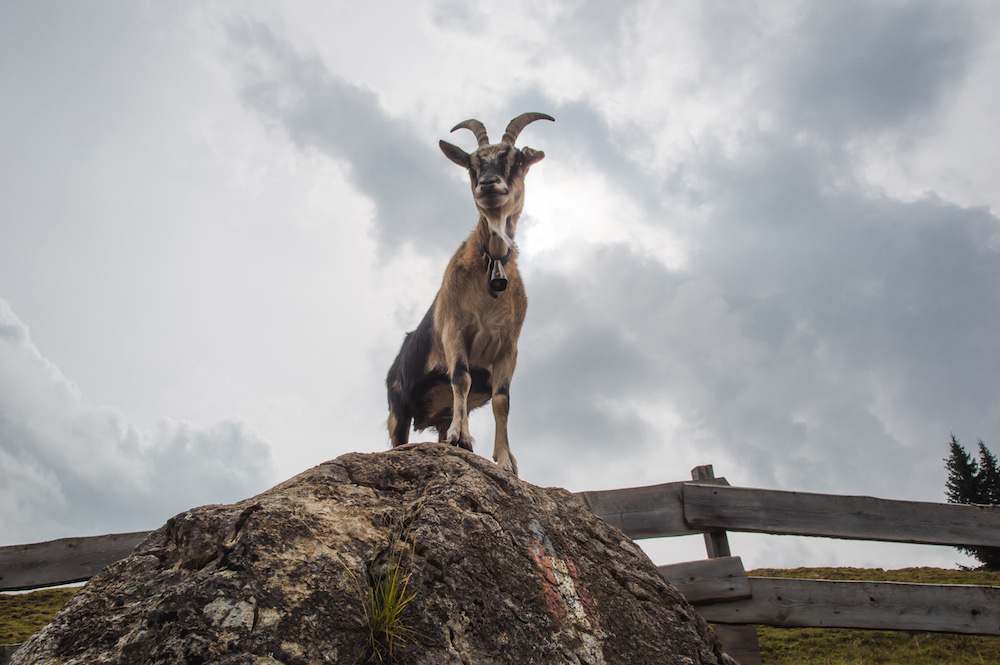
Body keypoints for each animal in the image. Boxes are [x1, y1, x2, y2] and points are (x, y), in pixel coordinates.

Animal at [384, 111, 556, 474]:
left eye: (517, 159)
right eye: (471, 165)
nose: (488, 184)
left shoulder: (508, 346)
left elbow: (502, 400)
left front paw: (505, 460)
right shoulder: (454, 330)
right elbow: (461, 378)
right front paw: (462, 437)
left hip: (437, 412)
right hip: (398, 407)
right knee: (399, 438)